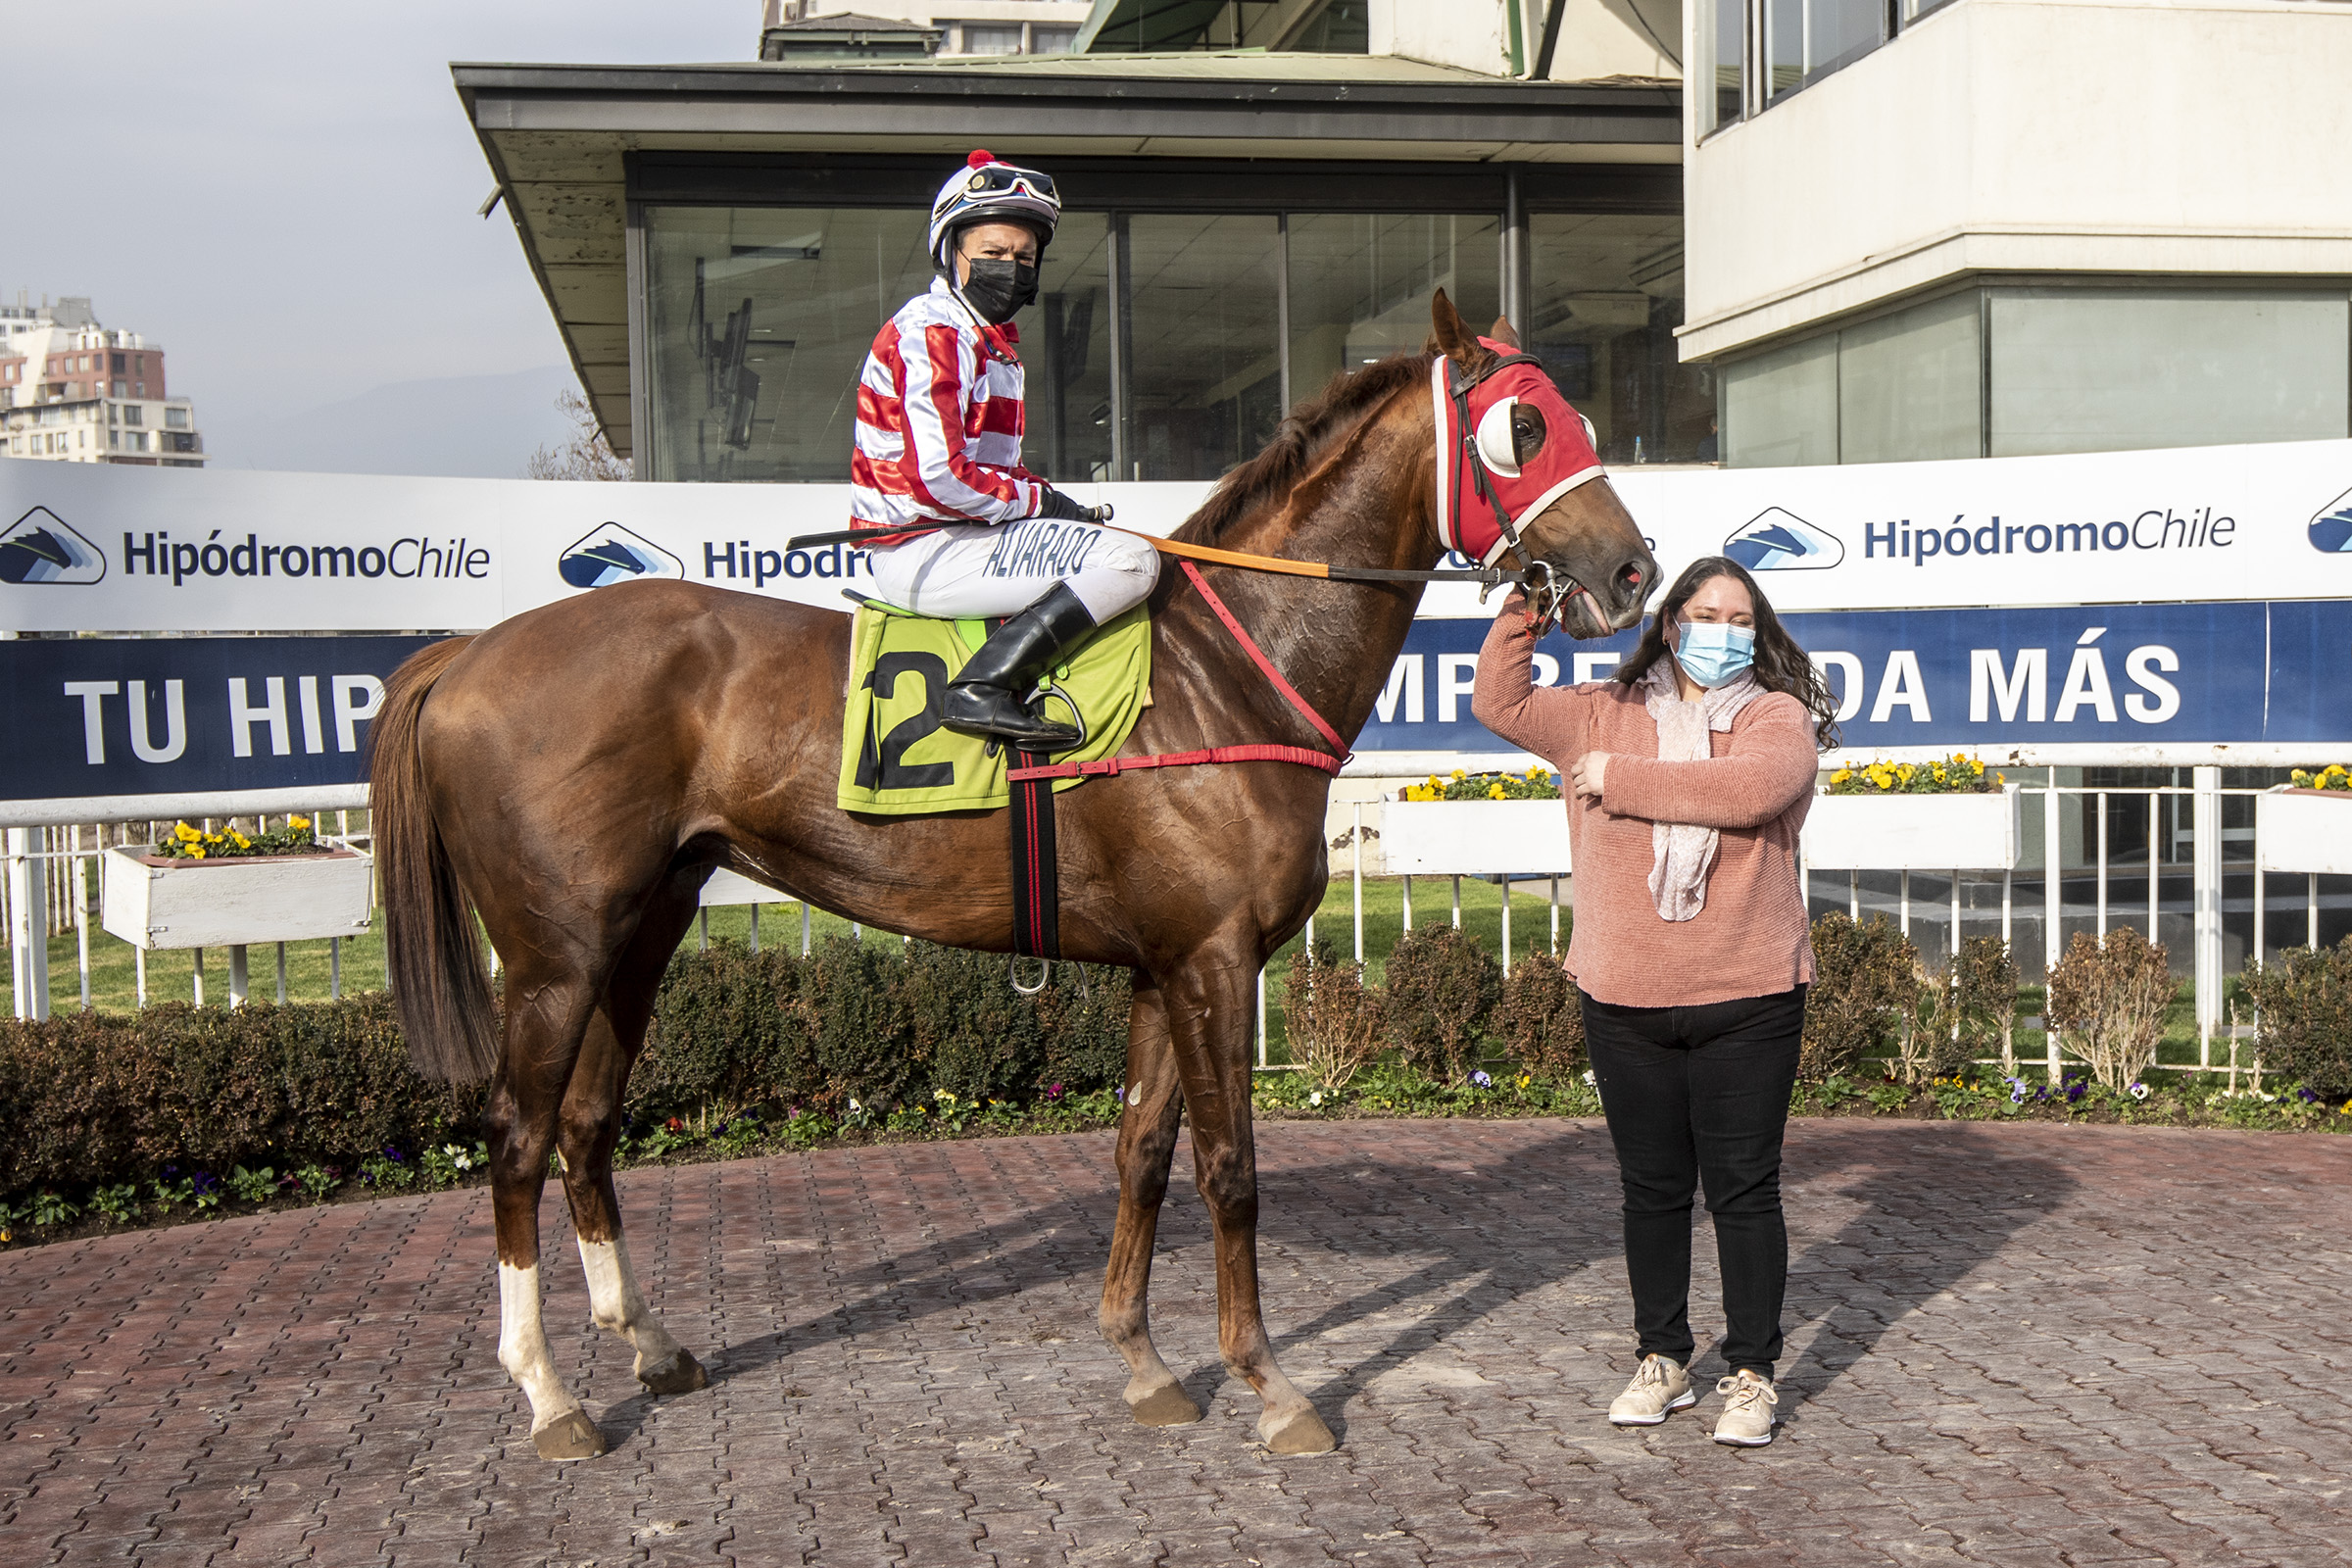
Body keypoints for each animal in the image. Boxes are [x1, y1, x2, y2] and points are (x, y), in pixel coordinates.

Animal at [368, 291, 1660, 1461]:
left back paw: (650, 1344)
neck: (1227, 670)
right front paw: (1271, 1384)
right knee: (518, 1135)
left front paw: (1143, 1361)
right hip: (555, 952)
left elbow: (1142, 1155)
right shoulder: (1213, 960)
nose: (1633, 570)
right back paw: (550, 1395)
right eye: (1523, 428)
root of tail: (467, 652)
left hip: (641, 928)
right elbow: (1230, 1170)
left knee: (587, 1124)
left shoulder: (1160, 963)